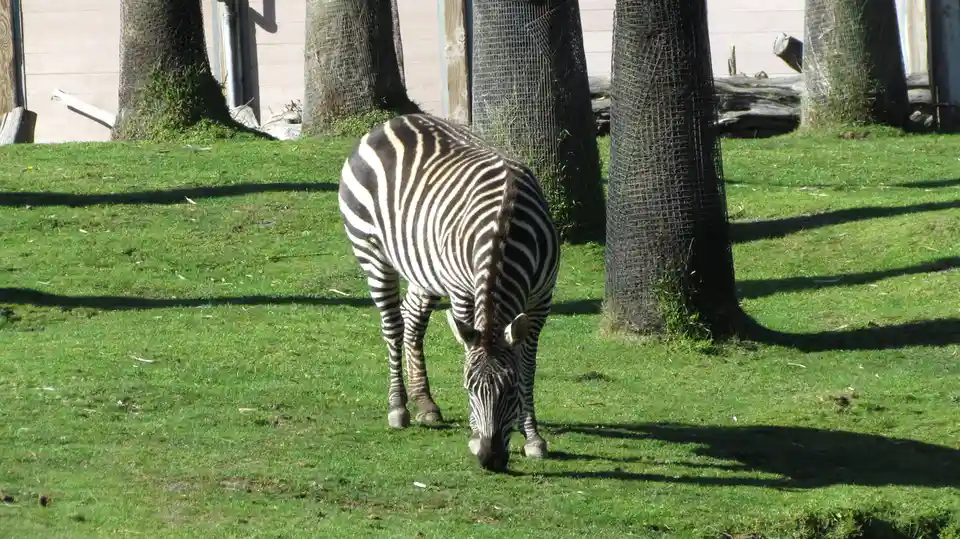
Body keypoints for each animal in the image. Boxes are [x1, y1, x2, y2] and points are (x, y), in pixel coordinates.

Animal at [337, 112, 560, 472]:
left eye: (510, 389)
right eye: (468, 388)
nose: (489, 459)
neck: (506, 226)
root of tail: (391, 122)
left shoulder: (543, 299)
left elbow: (528, 365)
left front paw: (533, 437)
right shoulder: (461, 291)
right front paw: (475, 435)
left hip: (424, 267)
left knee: (413, 320)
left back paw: (425, 403)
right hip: (371, 250)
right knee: (393, 325)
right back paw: (398, 407)